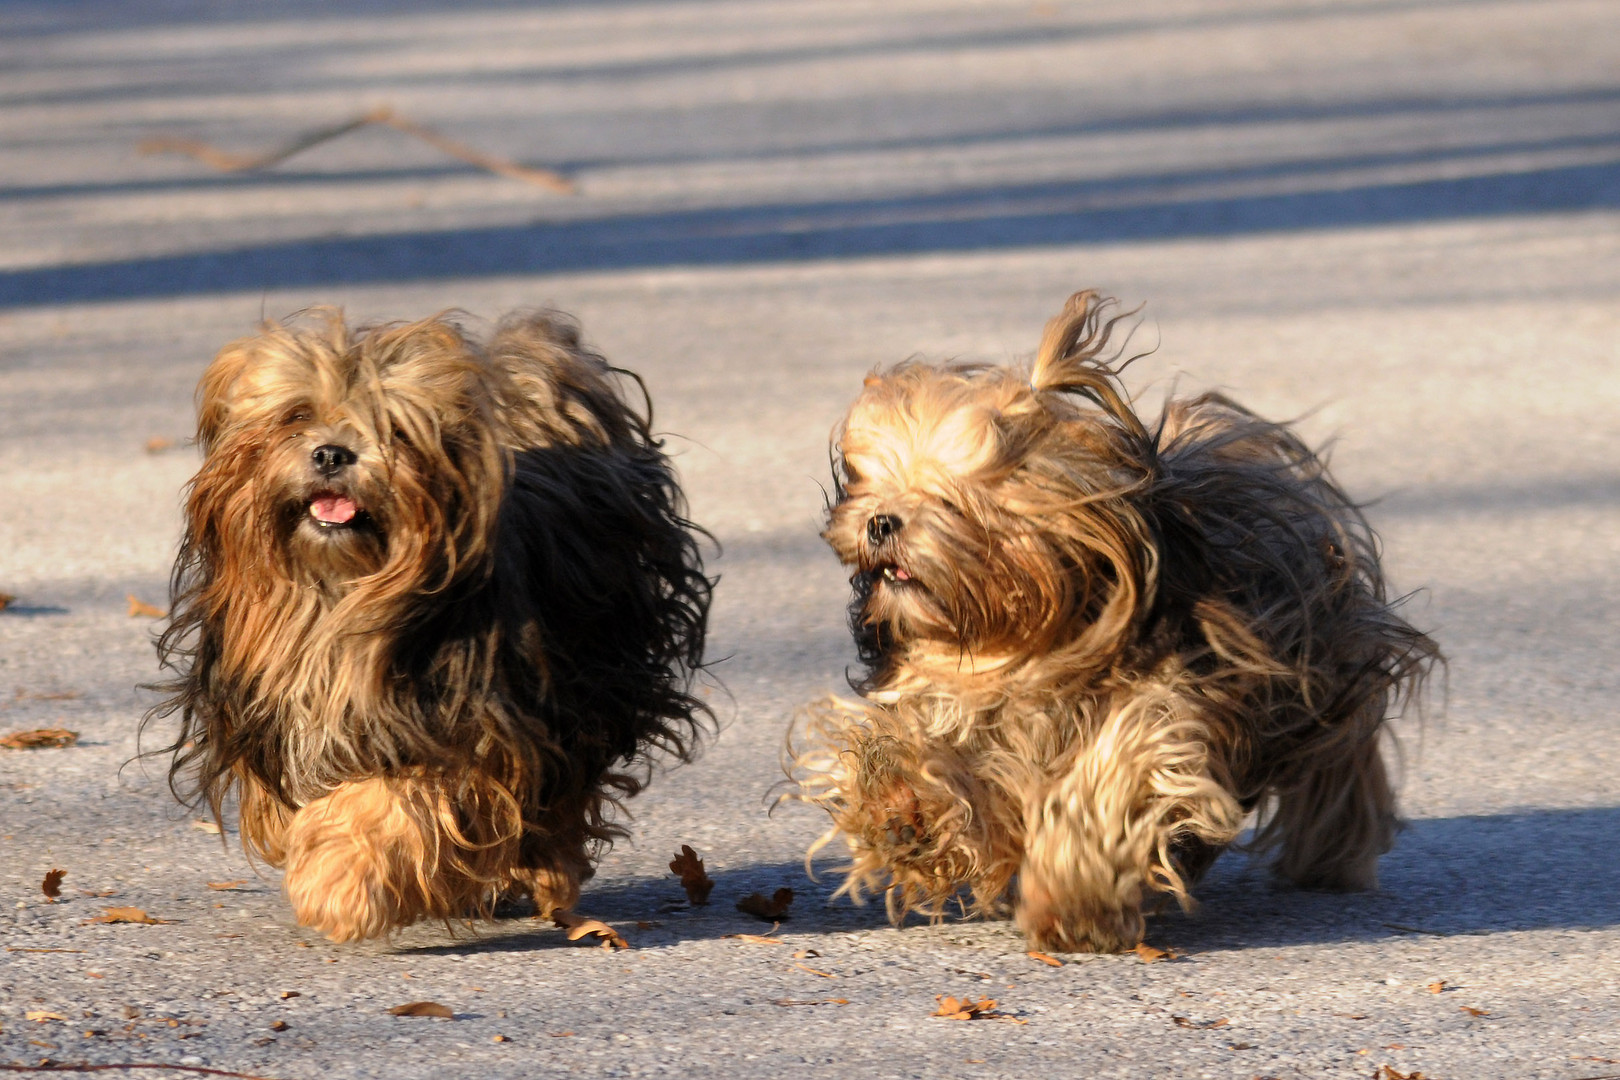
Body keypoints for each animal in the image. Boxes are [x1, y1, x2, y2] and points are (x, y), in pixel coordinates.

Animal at [144, 307, 709, 939]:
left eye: (393, 429)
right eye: (297, 415)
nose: (332, 454)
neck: (334, 599)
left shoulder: (465, 730)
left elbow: (396, 803)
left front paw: (338, 883)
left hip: (591, 679)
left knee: (561, 796)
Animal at [790, 291, 1438, 952]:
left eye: (950, 499)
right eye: (871, 488)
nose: (881, 522)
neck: (1016, 645)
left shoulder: (1161, 709)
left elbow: (1112, 786)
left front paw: (1074, 906)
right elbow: (935, 764)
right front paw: (904, 812)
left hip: (1319, 679)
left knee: (1342, 766)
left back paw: (1333, 860)